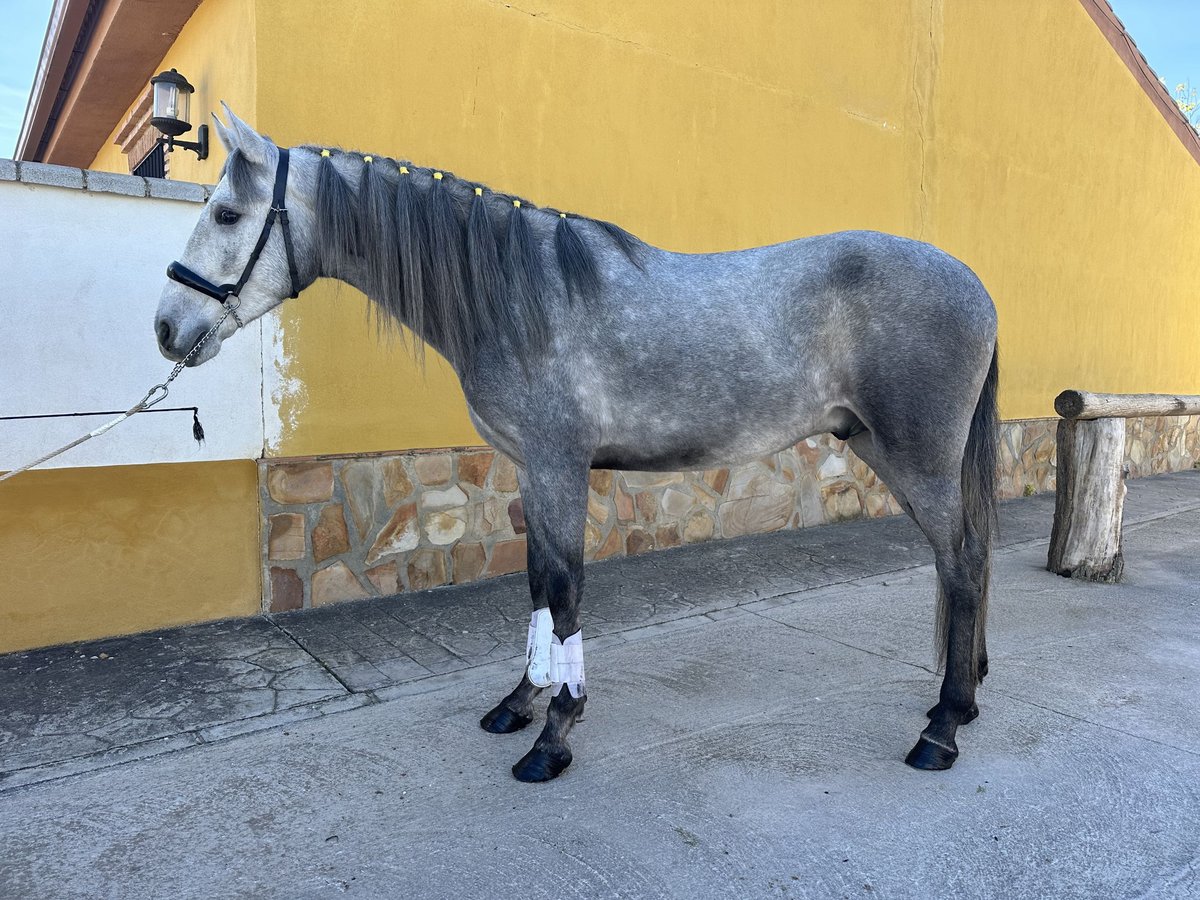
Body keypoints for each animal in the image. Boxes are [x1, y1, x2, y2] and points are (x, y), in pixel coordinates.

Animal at [154, 103, 998, 782]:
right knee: (971, 557)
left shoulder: (561, 464)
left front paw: (554, 736)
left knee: (960, 561)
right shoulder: (532, 469)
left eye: (225, 214)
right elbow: (536, 583)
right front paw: (519, 703)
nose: (167, 327)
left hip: (916, 458)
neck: (522, 296)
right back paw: (967, 699)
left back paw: (942, 726)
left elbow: (565, 591)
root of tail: (976, 284)